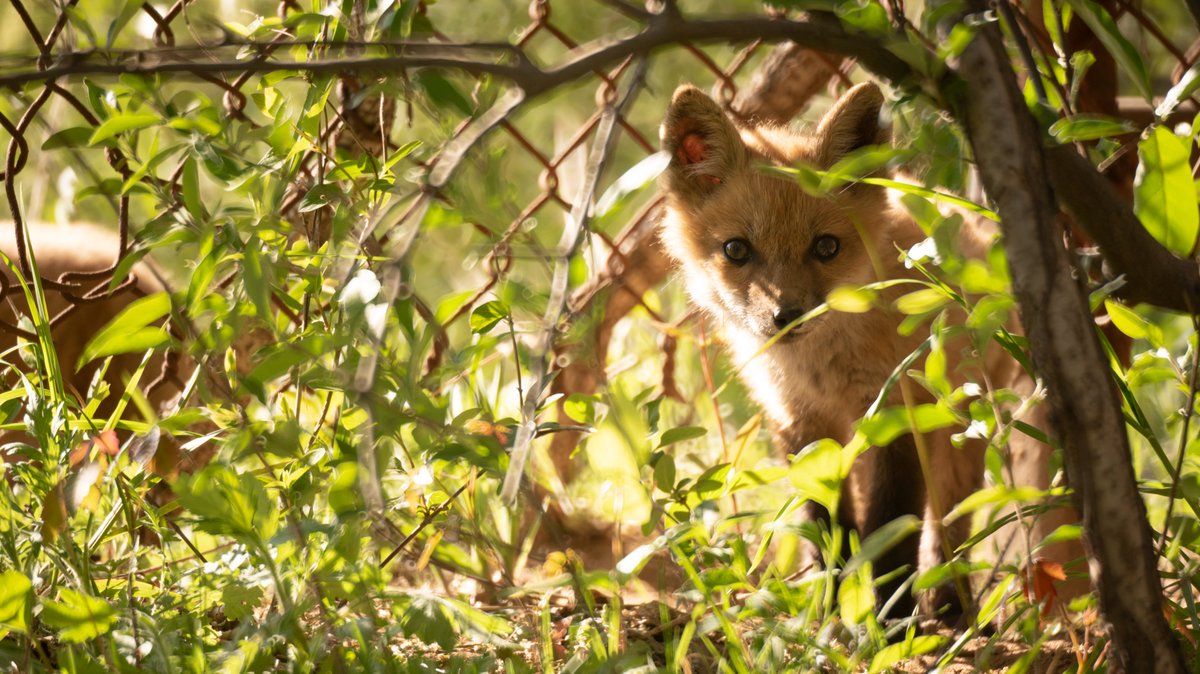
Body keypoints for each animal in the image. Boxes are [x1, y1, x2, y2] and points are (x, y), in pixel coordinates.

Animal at [658, 82, 1085, 618]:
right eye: (736, 250)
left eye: (826, 247)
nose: (786, 316)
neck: (822, 370)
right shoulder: (798, 423)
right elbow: (827, 527)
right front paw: (832, 611)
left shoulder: (899, 415)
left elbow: (891, 529)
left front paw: (889, 619)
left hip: (959, 430)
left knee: (947, 525)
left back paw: (950, 608)